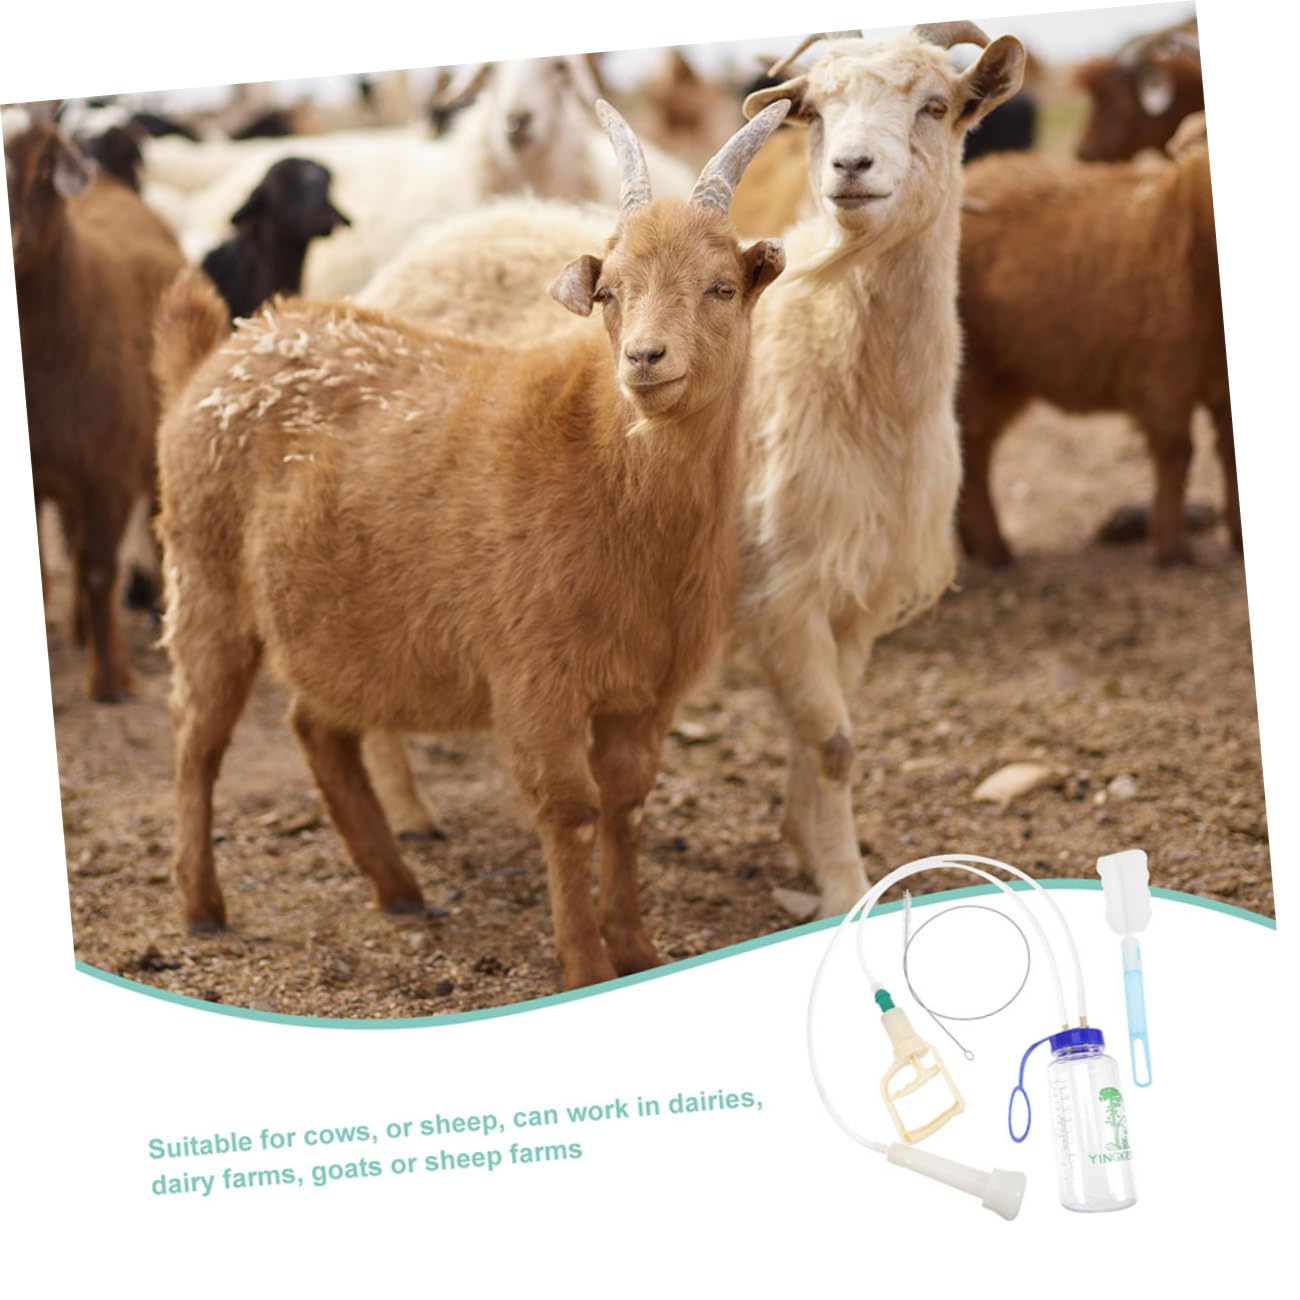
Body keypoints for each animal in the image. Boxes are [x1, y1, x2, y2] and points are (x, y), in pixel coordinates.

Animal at [352, 24, 1026, 915]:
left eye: (936, 106)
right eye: (816, 110)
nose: (852, 168)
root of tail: (436, 244)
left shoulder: (851, 594)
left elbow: (825, 736)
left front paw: (803, 844)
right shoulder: (781, 587)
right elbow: (834, 743)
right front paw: (843, 885)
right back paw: (410, 812)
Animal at [955, 119, 1234, 568]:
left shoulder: (1217, 381)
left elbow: (1229, 454)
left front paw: (1239, 543)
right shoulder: (1163, 373)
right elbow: (1176, 453)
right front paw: (1173, 550)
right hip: (974, 369)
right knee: (973, 449)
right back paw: (994, 551)